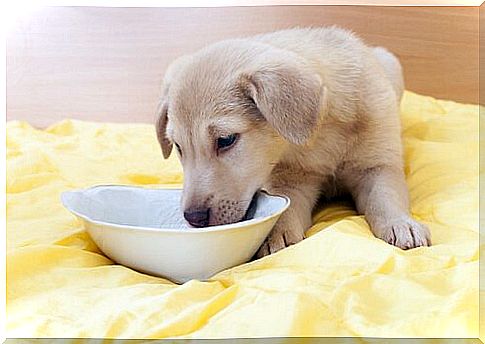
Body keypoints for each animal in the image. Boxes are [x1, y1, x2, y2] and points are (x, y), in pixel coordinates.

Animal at [154, 27, 428, 258]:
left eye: (226, 140)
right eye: (178, 147)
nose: (193, 218)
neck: (318, 136)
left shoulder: (377, 167)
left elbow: (386, 199)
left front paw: (401, 224)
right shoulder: (291, 182)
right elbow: (285, 211)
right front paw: (275, 236)